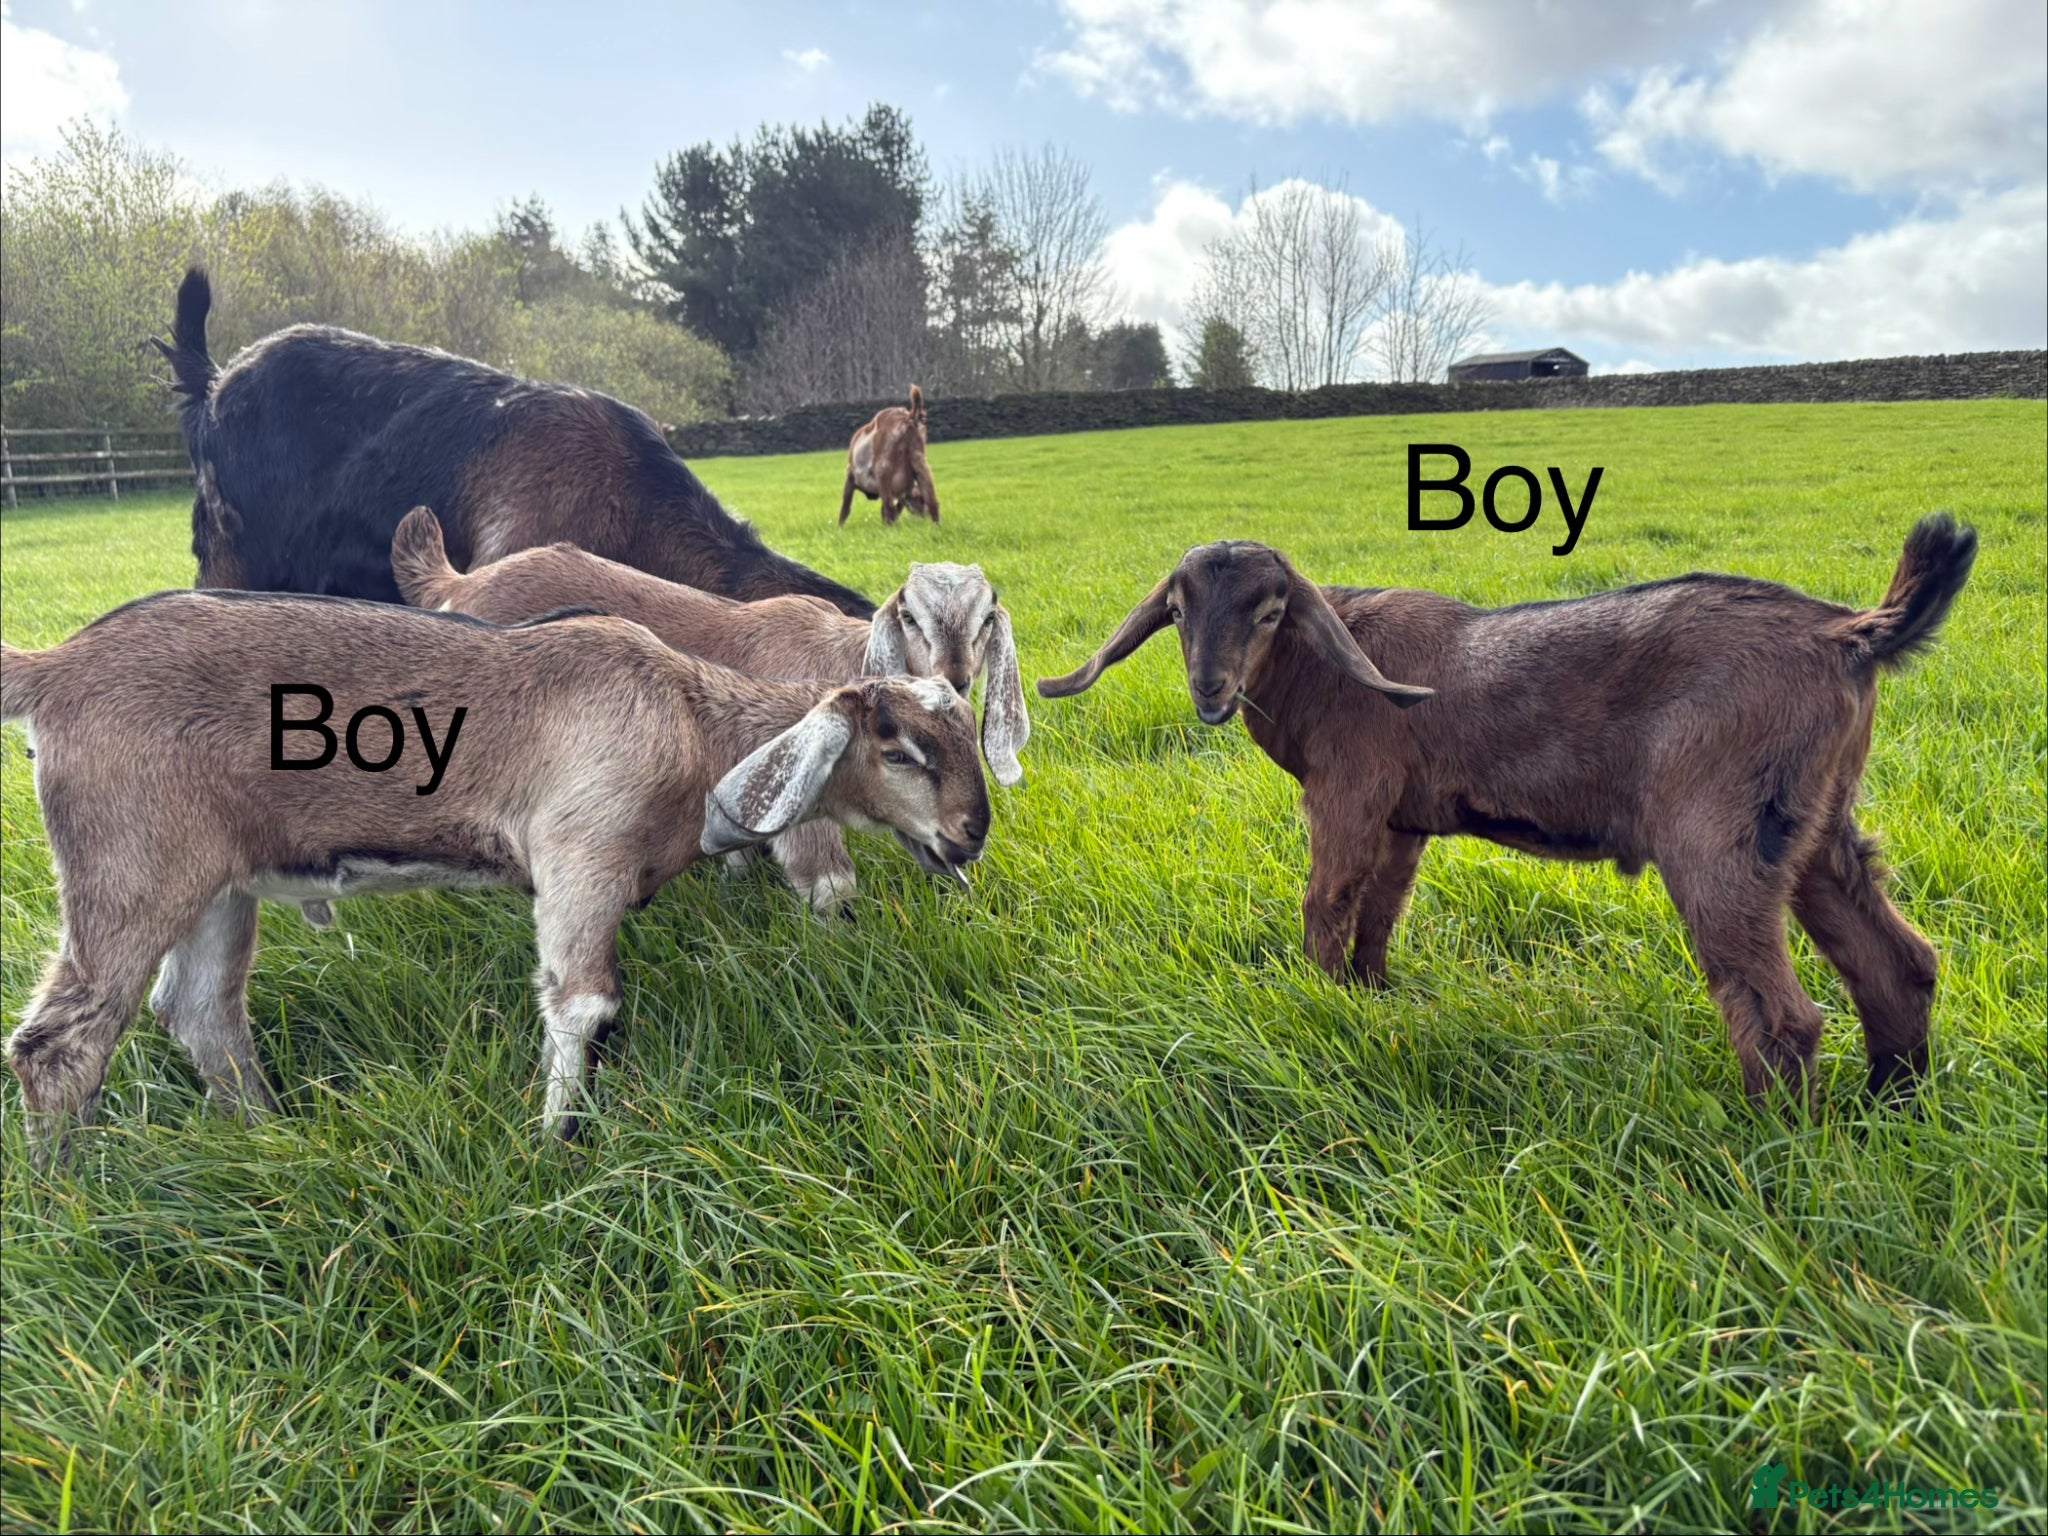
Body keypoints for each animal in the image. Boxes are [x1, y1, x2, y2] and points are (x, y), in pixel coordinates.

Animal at [1, 591, 989, 1166]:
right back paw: (68, 1202)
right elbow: (582, 1003)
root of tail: (53, 669)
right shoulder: (581, 854)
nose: (970, 835)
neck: (687, 722)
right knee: (60, 1045)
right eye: (901, 749)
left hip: (216, 882)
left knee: (200, 1010)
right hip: (130, 865)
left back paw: (270, 1139)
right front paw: (553, 1151)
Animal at [390, 507, 1027, 915]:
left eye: (987, 616)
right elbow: (827, 879)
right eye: (910, 615)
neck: (833, 657)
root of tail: (458, 585)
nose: (955, 677)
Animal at [840, 385, 939, 526]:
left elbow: (845, 509)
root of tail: (908, 418)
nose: (924, 517)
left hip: (882, 471)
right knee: (933, 502)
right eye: (919, 500)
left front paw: (839, 529)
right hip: (921, 465)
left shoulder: (850, 478)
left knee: (890, 509)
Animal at [1037, 518, 1976, 1108]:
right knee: (1899, 964)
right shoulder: (1405, 818)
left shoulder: (1349, 789)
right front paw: (1371, 1000)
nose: (1211, 691)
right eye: (1177, 613)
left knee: (1783, 1016)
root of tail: (1849, 635)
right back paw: (1888, 1112)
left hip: (1720, 837)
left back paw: (1773, 1155)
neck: (1331, 664)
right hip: (1815, 828)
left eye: (1269, 611)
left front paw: (1319, 1004)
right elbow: (1381, 910)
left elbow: (1325, 902)